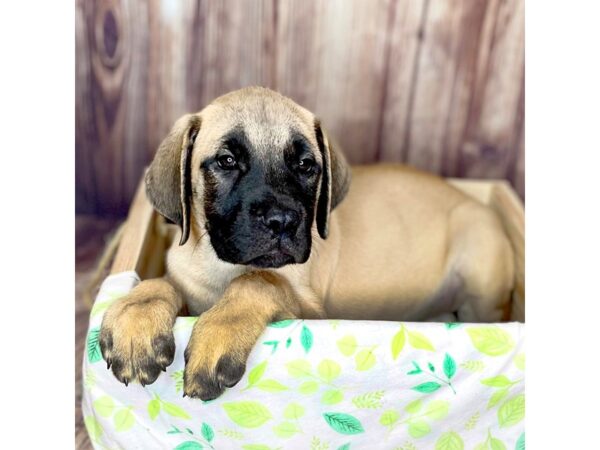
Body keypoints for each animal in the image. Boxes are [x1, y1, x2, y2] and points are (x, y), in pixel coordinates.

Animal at [101, 86, 512, 400]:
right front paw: (135, 318)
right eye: (227, 161)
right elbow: (159, 283)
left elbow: (260, 280)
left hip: (480, 274)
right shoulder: (190, 288)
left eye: (305, 165)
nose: (283, 221)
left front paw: (219, 331)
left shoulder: (313, 311)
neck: (223, 264)